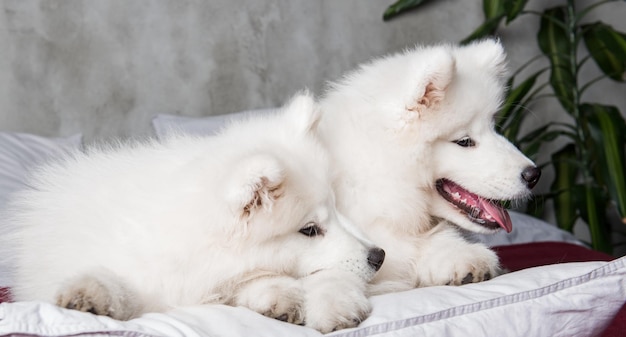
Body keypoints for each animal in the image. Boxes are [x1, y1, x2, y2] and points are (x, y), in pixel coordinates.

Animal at [3, 92, 386, 334]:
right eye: (309, 229)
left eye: (335, 209)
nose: (379, 256)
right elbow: (119, 285)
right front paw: (89, 296)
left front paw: (291, 300)